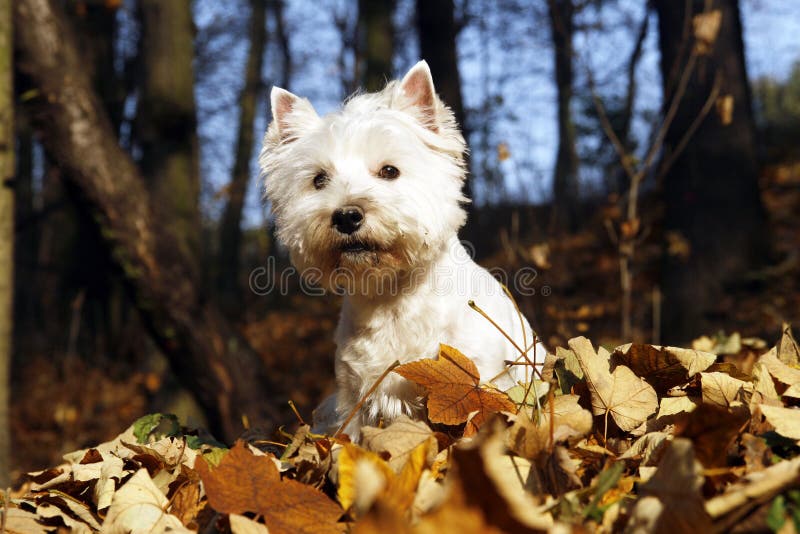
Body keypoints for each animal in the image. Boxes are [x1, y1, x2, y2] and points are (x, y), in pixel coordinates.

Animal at [260, 60, 544, 438]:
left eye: (389, 171)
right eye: (318, 180)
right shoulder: (355, 398)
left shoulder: (483, 380)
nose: (346, 216)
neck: (392, 298)